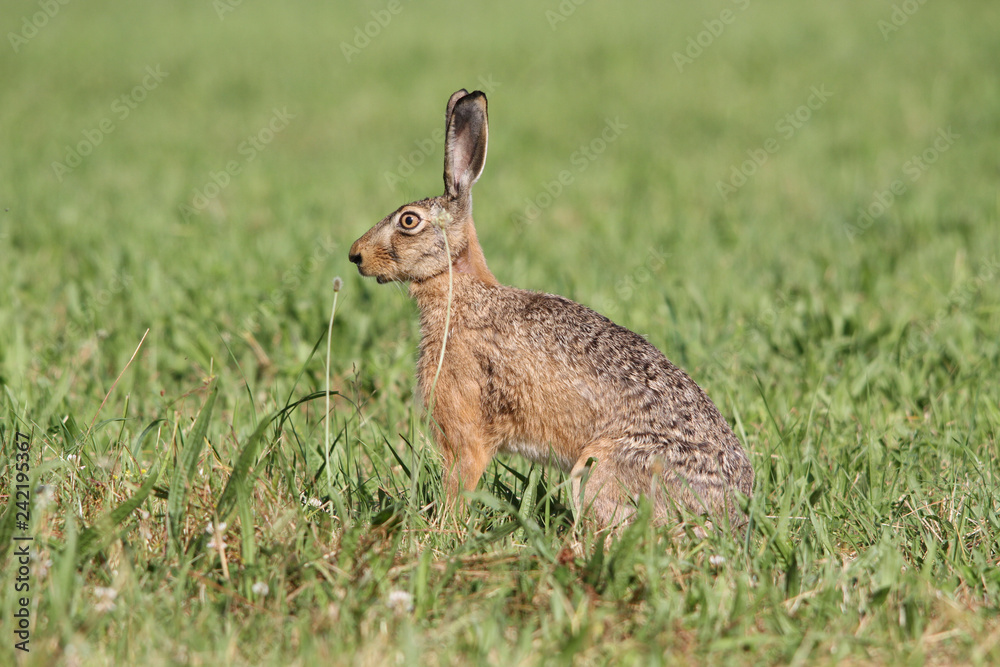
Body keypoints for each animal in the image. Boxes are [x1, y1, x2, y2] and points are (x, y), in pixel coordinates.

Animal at [349, 89, 754, 532]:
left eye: (408, 221)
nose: (356, 256)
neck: (462, 289)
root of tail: (731, 514)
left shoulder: (465, 427)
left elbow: (461, 480)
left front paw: (445, 529)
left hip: (599, 469)